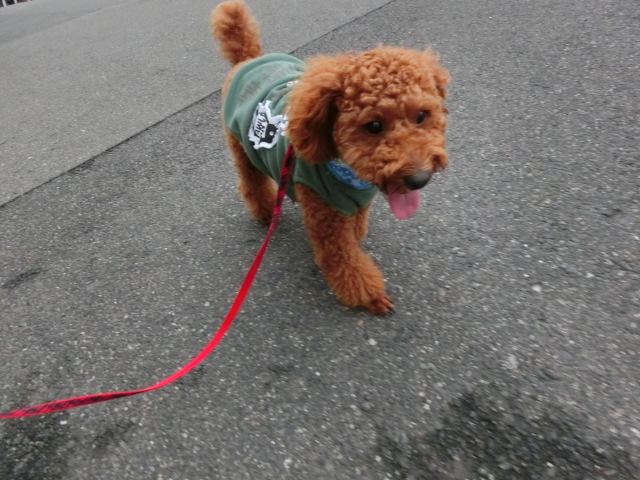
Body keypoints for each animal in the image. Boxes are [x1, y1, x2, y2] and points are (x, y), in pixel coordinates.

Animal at [210, 1, 449, 314]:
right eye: (373, 126)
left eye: (421, 115)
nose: (419, 179)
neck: (347, 171)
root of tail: (248, 59)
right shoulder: (325, 216)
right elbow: (343, 259)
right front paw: (369, 295)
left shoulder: (356, 205)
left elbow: (354, 234)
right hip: (240, 145)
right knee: (251, 182)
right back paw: (264, 213)